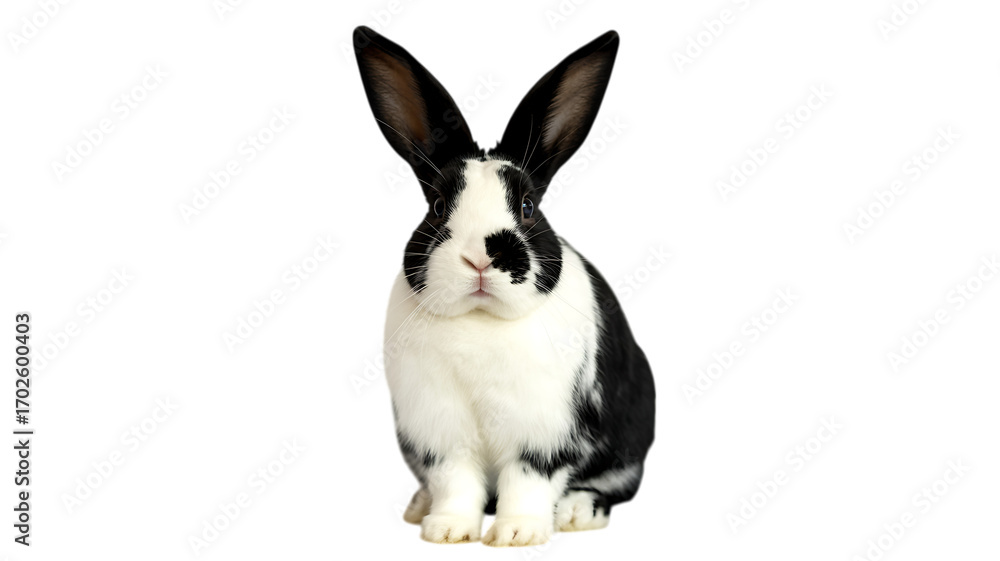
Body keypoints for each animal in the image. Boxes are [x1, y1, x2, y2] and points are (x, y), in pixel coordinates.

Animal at [353, 26, 655, 547]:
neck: (480, 320)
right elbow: (455, 482)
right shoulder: (441, 432)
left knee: (614, 485)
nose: (481, 258)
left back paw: (578, 513)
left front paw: (517, 534)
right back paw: (420, 506)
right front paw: (447, 530)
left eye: (529, 206)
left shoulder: (544, 432)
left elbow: (528, 481)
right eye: (437, 207)